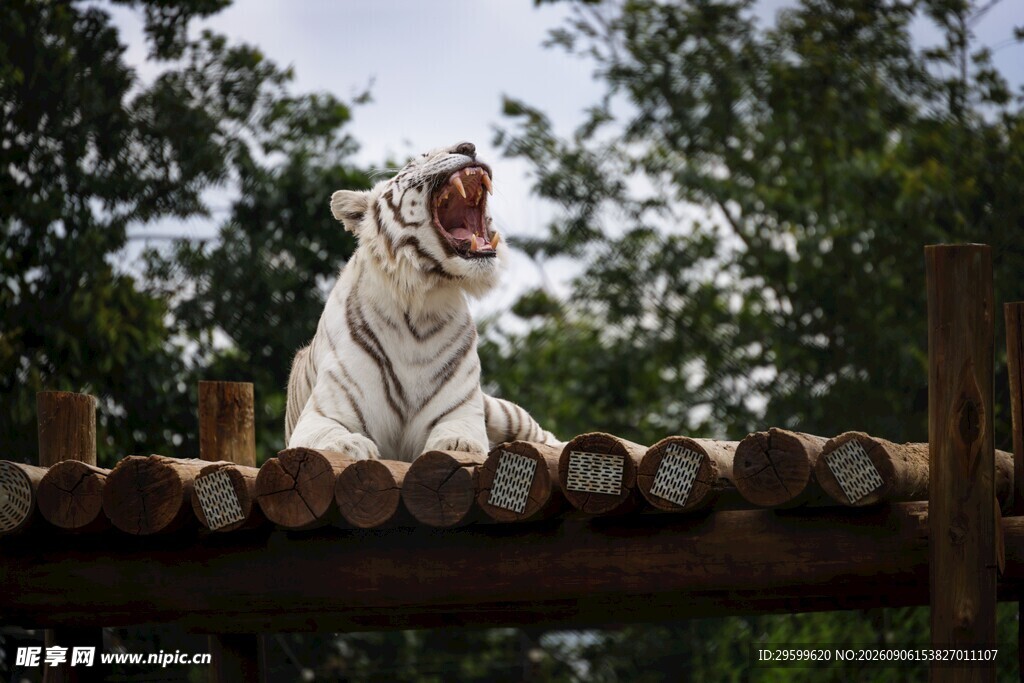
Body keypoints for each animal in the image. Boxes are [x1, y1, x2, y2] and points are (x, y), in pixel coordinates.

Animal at [284, 141, 561, 461]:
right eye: (420, 159)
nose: (469, 146)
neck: (420, 303)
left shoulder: (461, 410)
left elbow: (459, 434)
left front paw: (457, 445)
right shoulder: (321, 414)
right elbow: (330, 437)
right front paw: (350, 445)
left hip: (498, 409)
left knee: (544, 436)